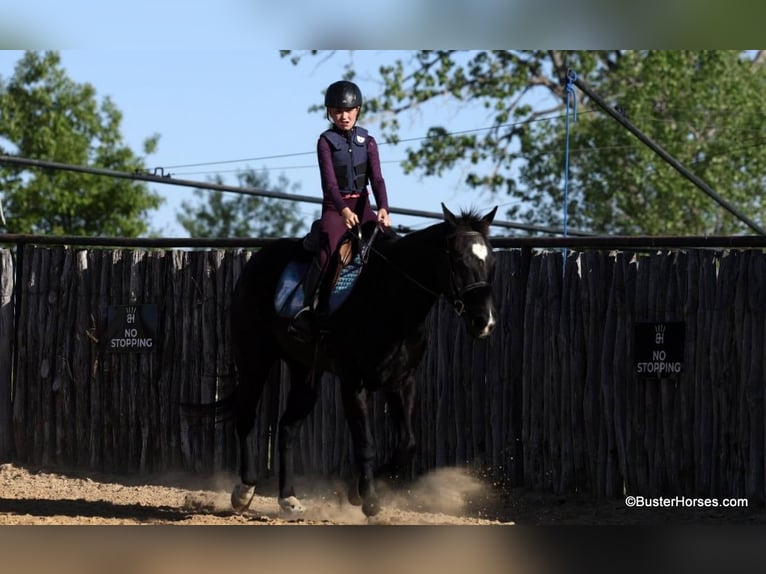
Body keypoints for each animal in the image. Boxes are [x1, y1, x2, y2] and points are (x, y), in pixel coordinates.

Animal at [224, 205, 498, 520]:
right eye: (457, 260)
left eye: (491, 260)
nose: (484, 322)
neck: (391, 298)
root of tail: (256, 260)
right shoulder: (354, 384)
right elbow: (365, 443)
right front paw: (369, 500)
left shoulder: (402, 382)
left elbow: (407, 444)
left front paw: (355, 491)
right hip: (254, 360)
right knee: (246, 417)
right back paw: (244, 492)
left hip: (305, 372)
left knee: (288, 428)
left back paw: (289, 499)